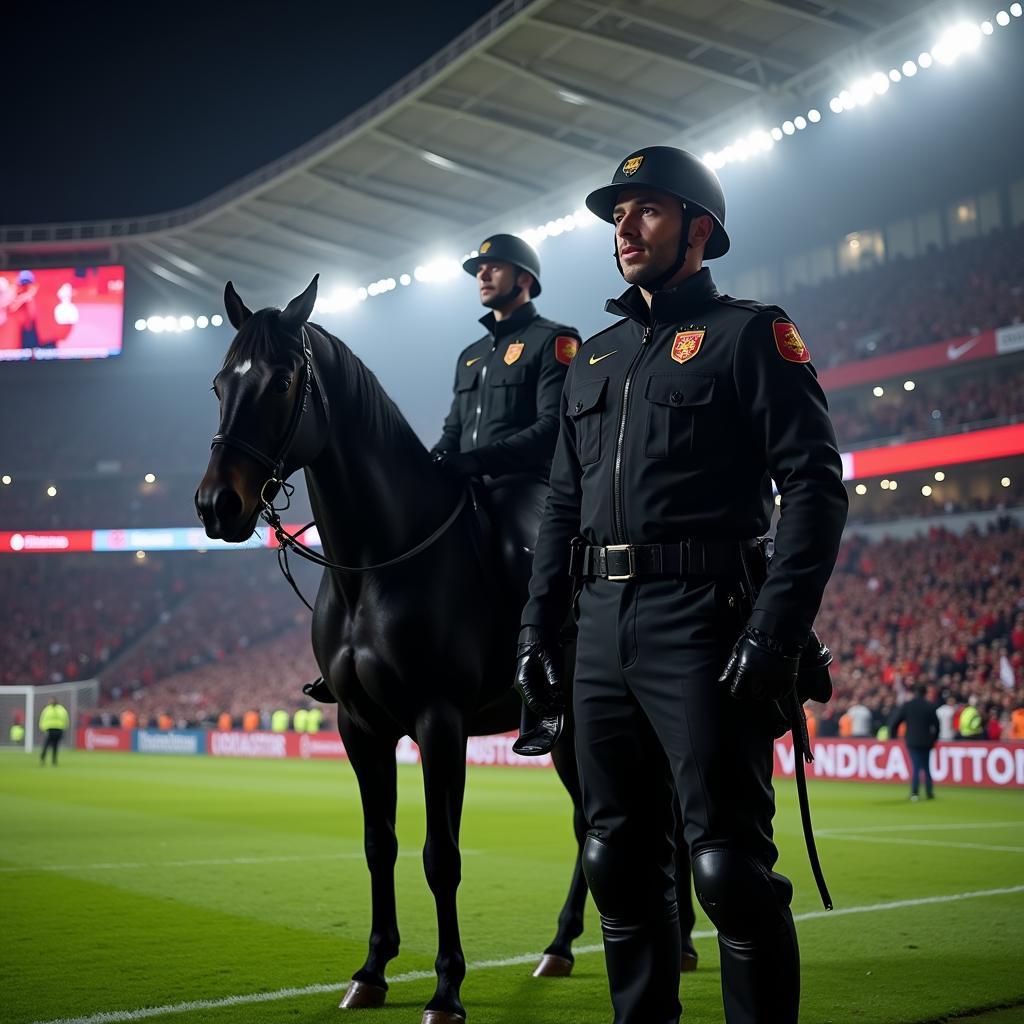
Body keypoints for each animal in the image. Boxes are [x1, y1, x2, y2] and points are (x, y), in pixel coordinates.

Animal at [194, 278, 589, 1024]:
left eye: (282, 380)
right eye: (219, 384)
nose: (216, 505)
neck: (378, 561)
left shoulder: (440, 722)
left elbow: (442, 855)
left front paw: (446, 989)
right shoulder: (360, 725)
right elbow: (381, 844)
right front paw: (372, 970)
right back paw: (574, 947)